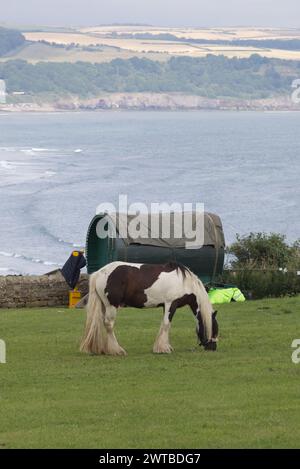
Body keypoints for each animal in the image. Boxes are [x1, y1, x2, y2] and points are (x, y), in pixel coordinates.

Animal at [81, 260, 219, 354]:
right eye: (214, 329)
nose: (213, 348)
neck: (184, 283)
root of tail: (99, 273)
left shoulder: (165, 306)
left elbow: (164, 324)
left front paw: (162, 347)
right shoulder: (171, 304)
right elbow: (167, 324)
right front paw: (164, 348)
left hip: (104, 306)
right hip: (111, 306)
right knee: (109, 325)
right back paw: (116, 350)